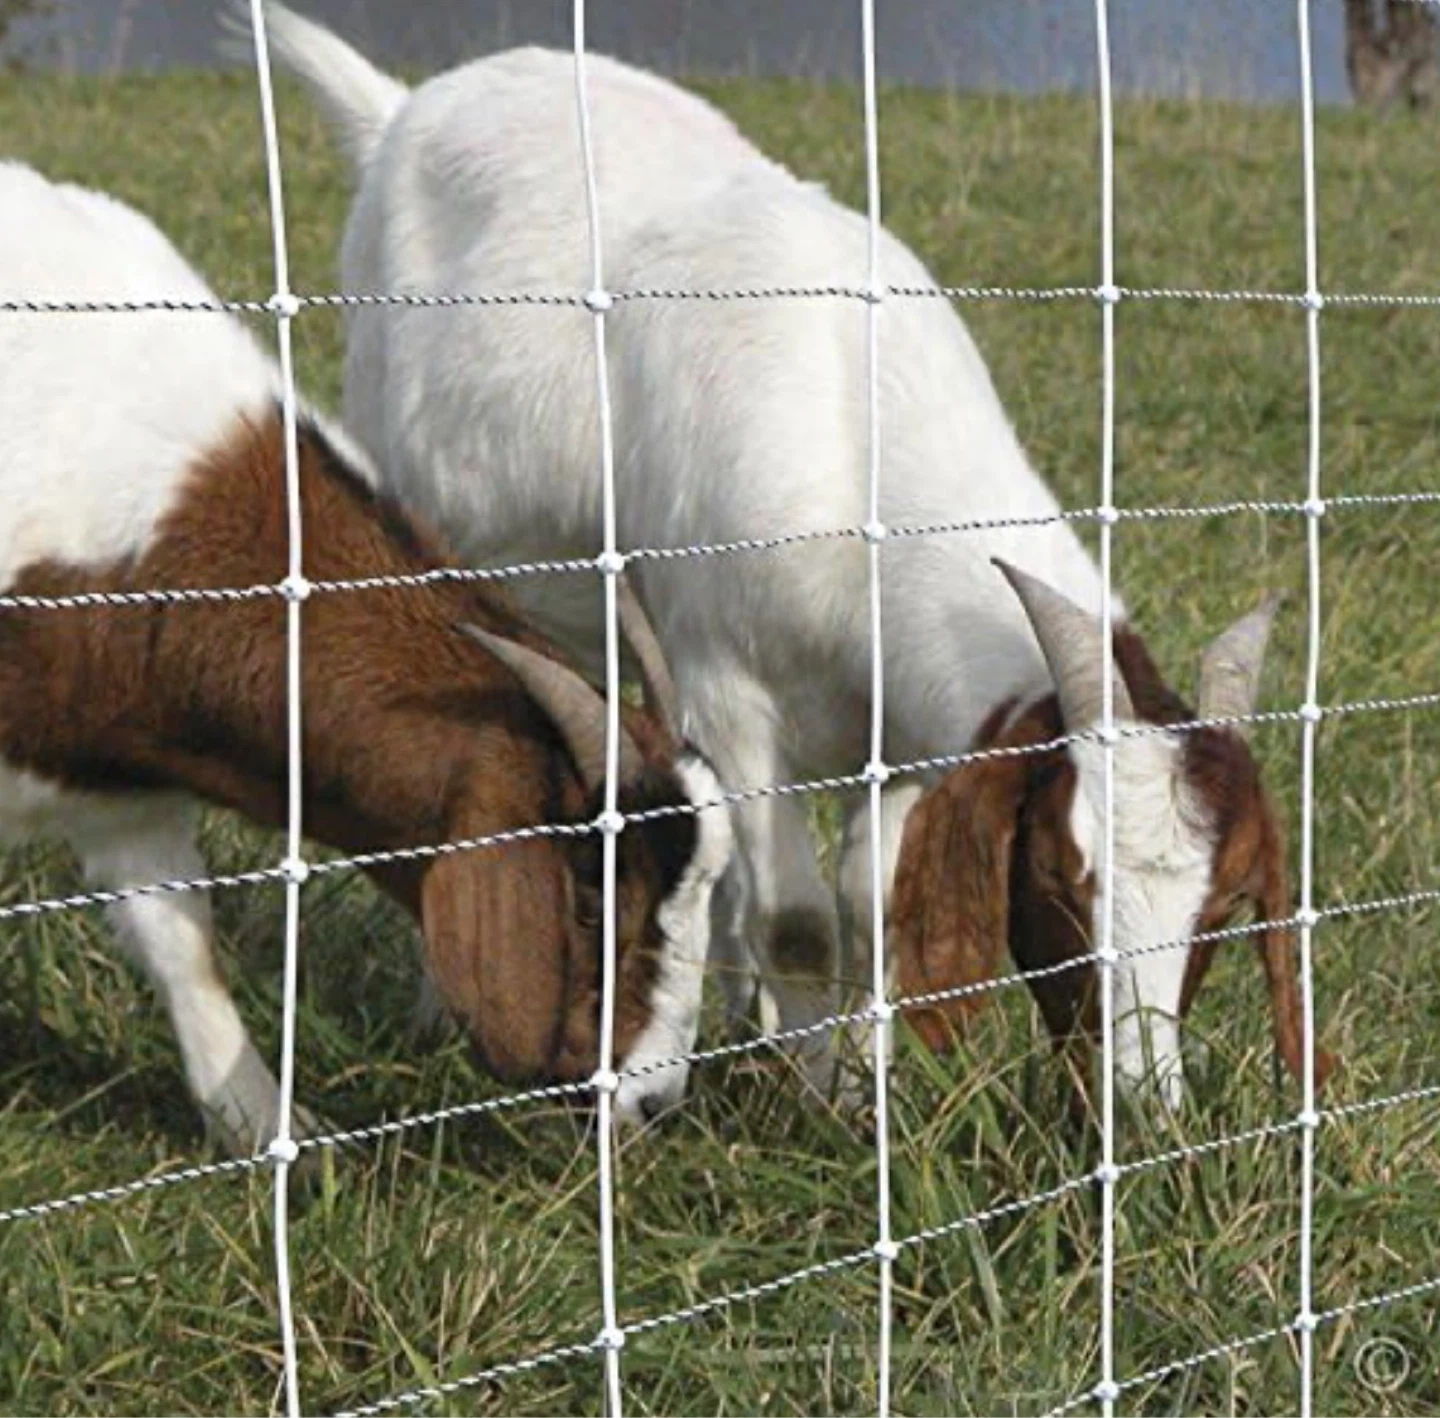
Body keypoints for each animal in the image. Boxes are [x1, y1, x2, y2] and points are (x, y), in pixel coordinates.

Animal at [244, 3, 1329, 1105]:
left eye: (1224, 902)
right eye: (1064, 875)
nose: (1138, 1104)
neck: (855, 427)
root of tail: (401, 109)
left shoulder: (905, 724)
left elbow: (872, 896)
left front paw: (858, 1079)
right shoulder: (728, 682)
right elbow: (800, 921)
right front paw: (816, 1097)